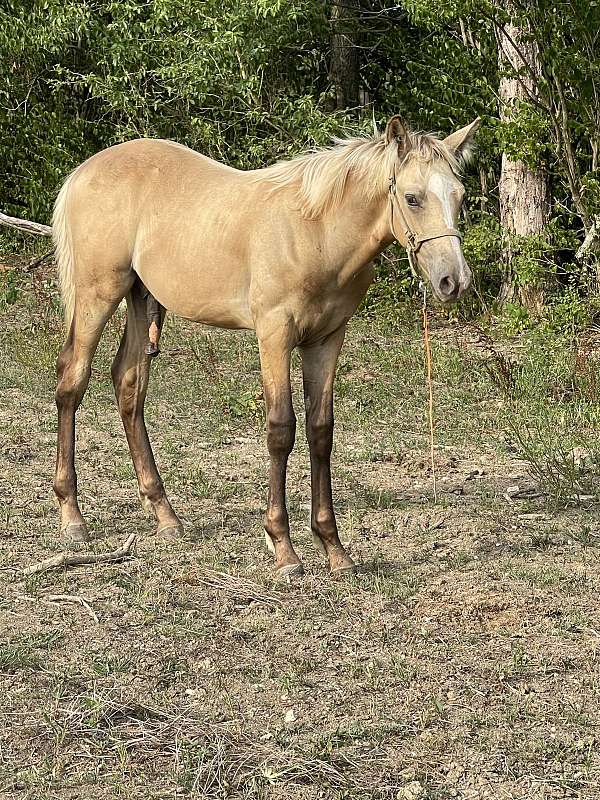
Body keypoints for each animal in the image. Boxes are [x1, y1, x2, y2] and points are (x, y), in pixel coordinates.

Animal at [51, 114, 478, 576]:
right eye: (412, 198)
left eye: (459, 196)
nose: (454, 281)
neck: (315, 233)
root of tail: (82, 172)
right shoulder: (274, 334)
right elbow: (280, 430)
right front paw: (284, 548)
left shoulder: (326, 339)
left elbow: (320, 431)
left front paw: (334, 548)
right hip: (97, 294)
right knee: (72, 382)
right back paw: (72, 517)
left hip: (141, 297)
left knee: (128, 384)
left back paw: (165, 515)